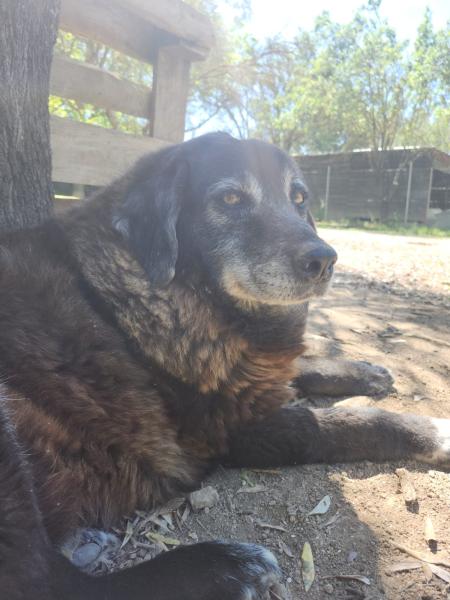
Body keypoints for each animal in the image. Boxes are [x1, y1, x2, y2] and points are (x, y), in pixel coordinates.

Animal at [0, 132, 449, 599]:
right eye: (231, 198)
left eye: (299, 198)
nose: (324, 259)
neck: (182, 295)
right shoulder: (230, 432)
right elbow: (343, 425)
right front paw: (432, 431)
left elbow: (305, 366)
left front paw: (367, 371)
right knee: (44, 581)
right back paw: (227, 566)